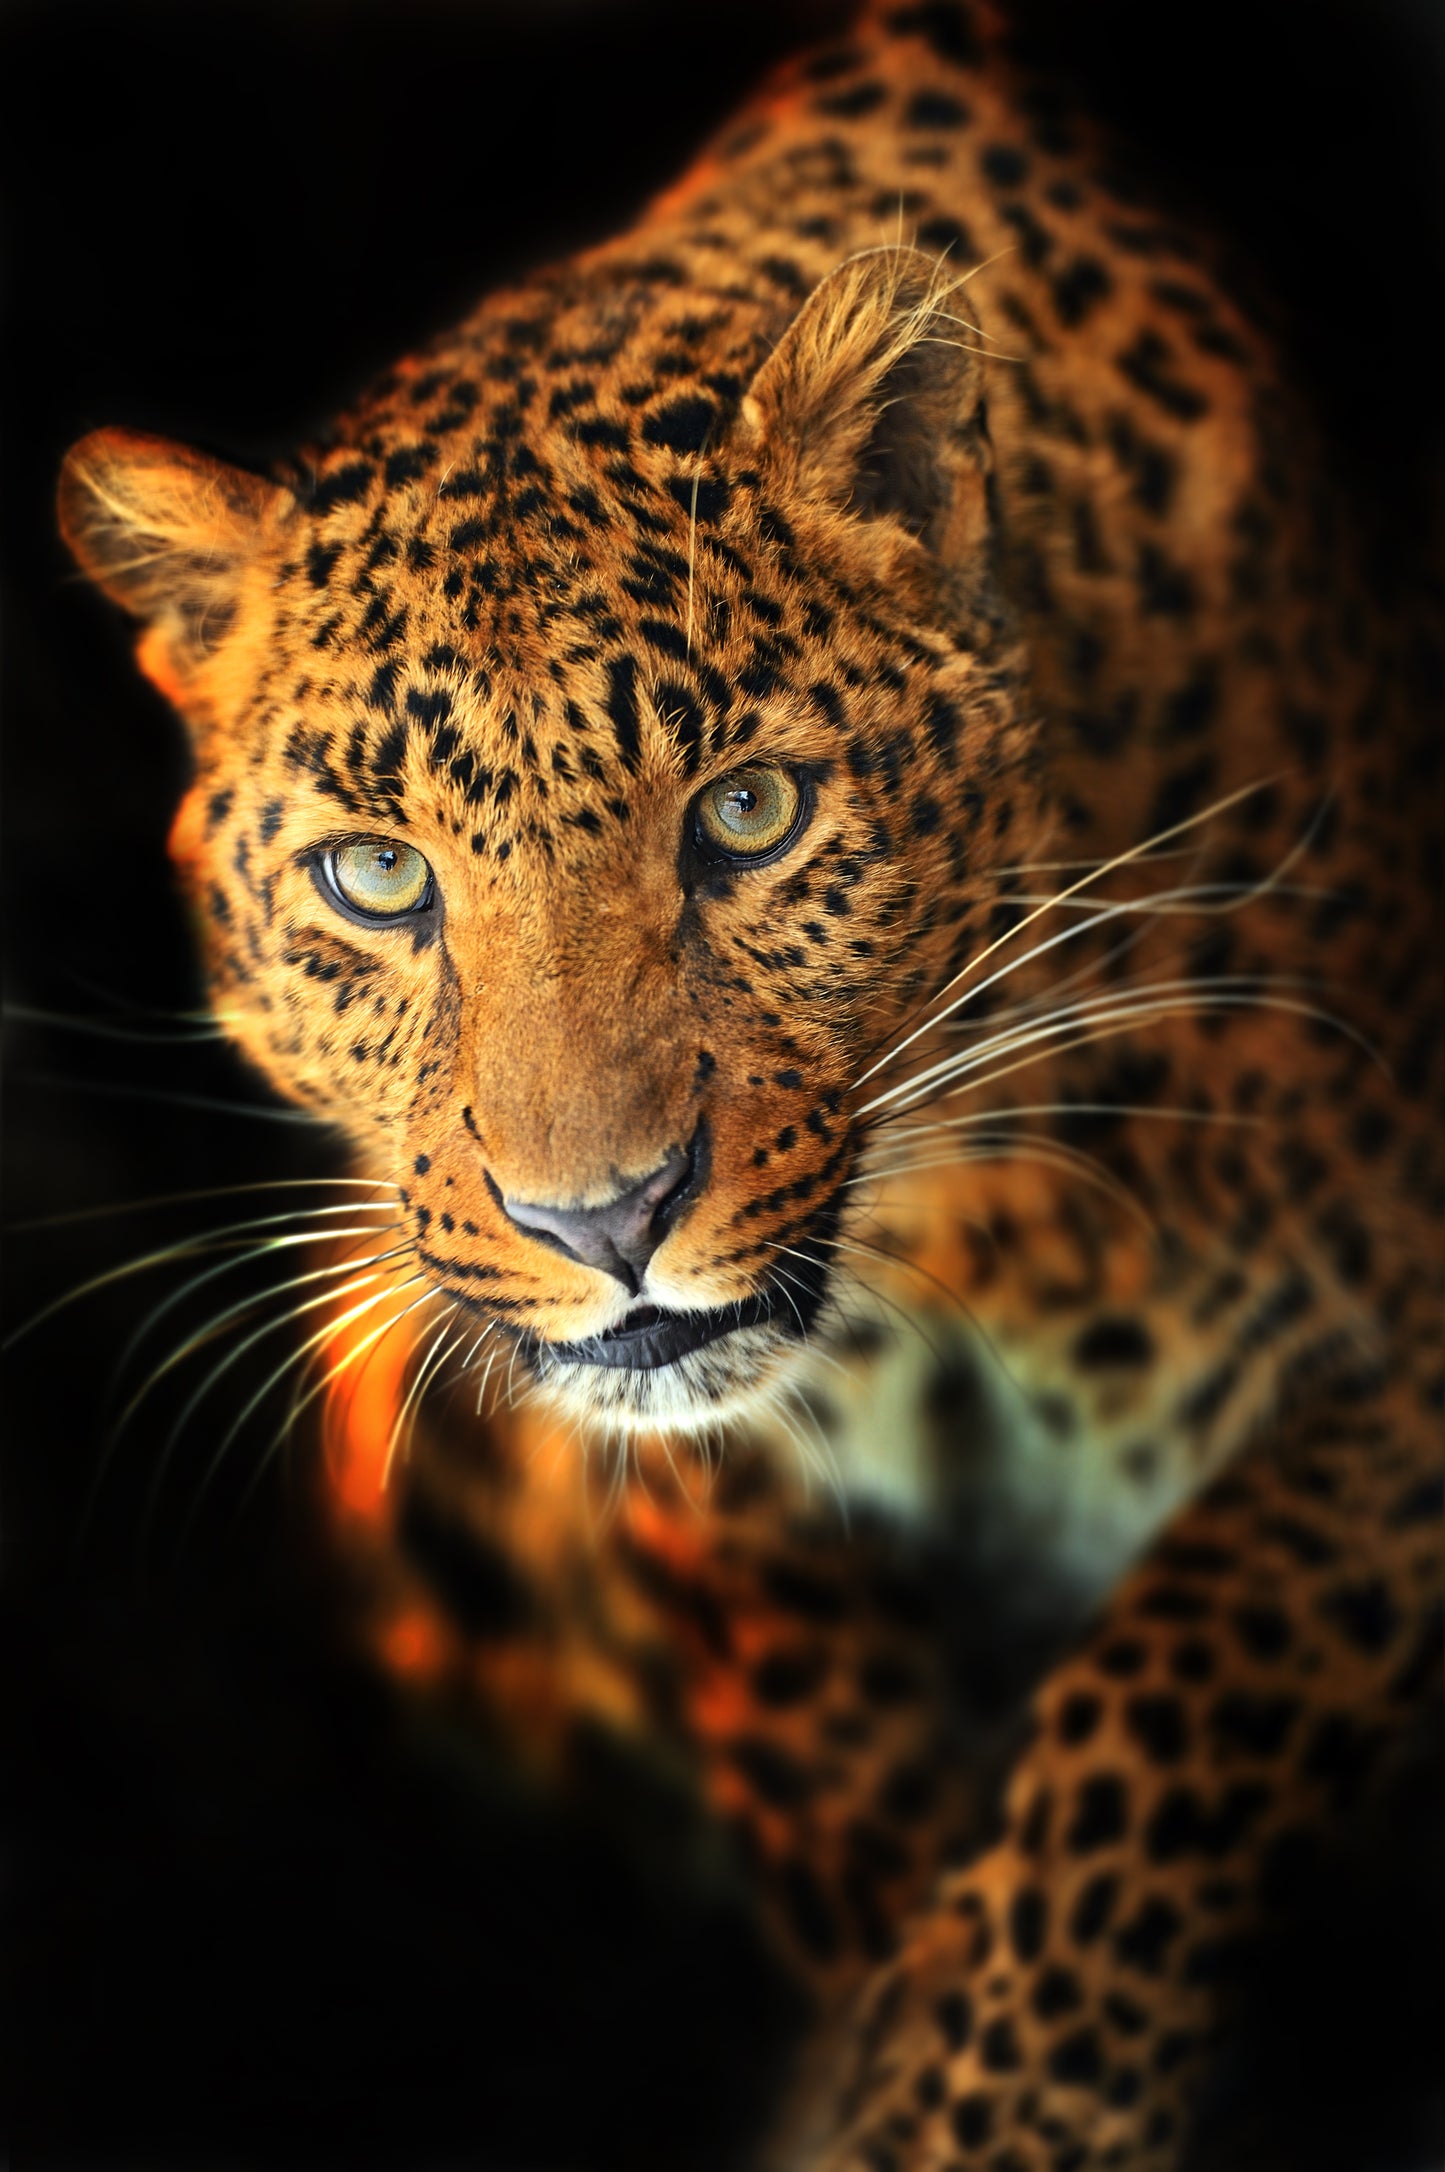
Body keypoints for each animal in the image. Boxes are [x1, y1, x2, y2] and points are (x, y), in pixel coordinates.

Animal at [55, 1, 1442, 2165]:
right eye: (377, 876)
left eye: (748, 815)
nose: (598, 1220)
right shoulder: (698, 1506)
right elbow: (851, 1772)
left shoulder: (1395, 1355)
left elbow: (1167, 1685)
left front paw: (983, 2111)